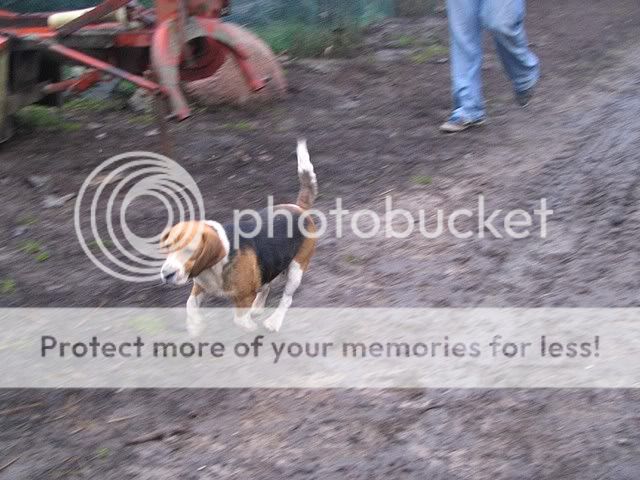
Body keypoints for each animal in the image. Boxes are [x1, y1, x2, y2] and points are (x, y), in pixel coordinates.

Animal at [160, 139, 317, 333]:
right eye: (167, 247)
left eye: (190, 250)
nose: (166, 275)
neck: (213, 268)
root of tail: (299, 209)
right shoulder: (200, 286)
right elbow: (190, 304)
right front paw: (195, 326)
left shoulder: (244, 297)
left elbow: (240, 319)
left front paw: (250, 327)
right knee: (266, 286)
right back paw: (258, 308)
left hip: (296, 270)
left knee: (287, 299)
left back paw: (274, 322)